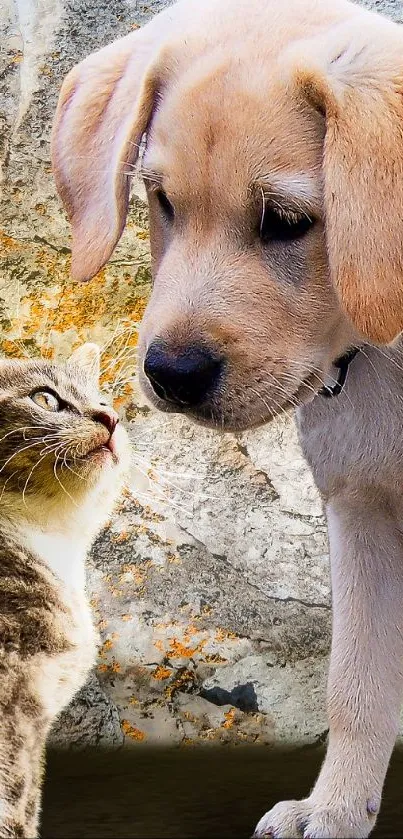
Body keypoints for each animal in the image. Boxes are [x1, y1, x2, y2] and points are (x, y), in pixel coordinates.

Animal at [51, 3, 403, 836]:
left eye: (286, 220)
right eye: (160, 200)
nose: (170, 374)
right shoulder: (361, 509)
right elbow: (356, 684)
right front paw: (334, 809)